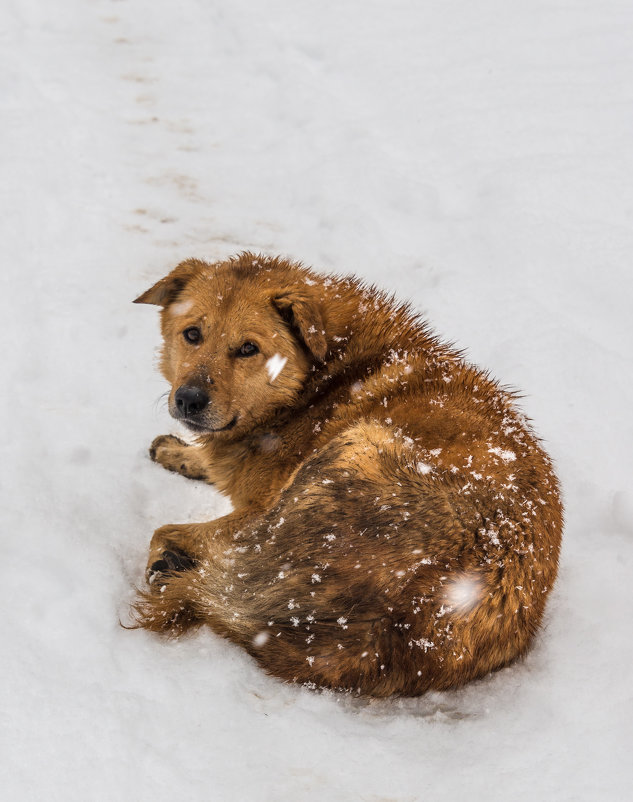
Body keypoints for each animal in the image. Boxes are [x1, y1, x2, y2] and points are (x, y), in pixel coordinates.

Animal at [131, 252, 560, 692]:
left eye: (248, 348)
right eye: (192, 334)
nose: (189, 399)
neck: (317, 382)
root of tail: (393, 630)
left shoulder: (261, 505)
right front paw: (180, 452)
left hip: (350, 453)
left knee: (177, 542)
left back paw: (171, 565)